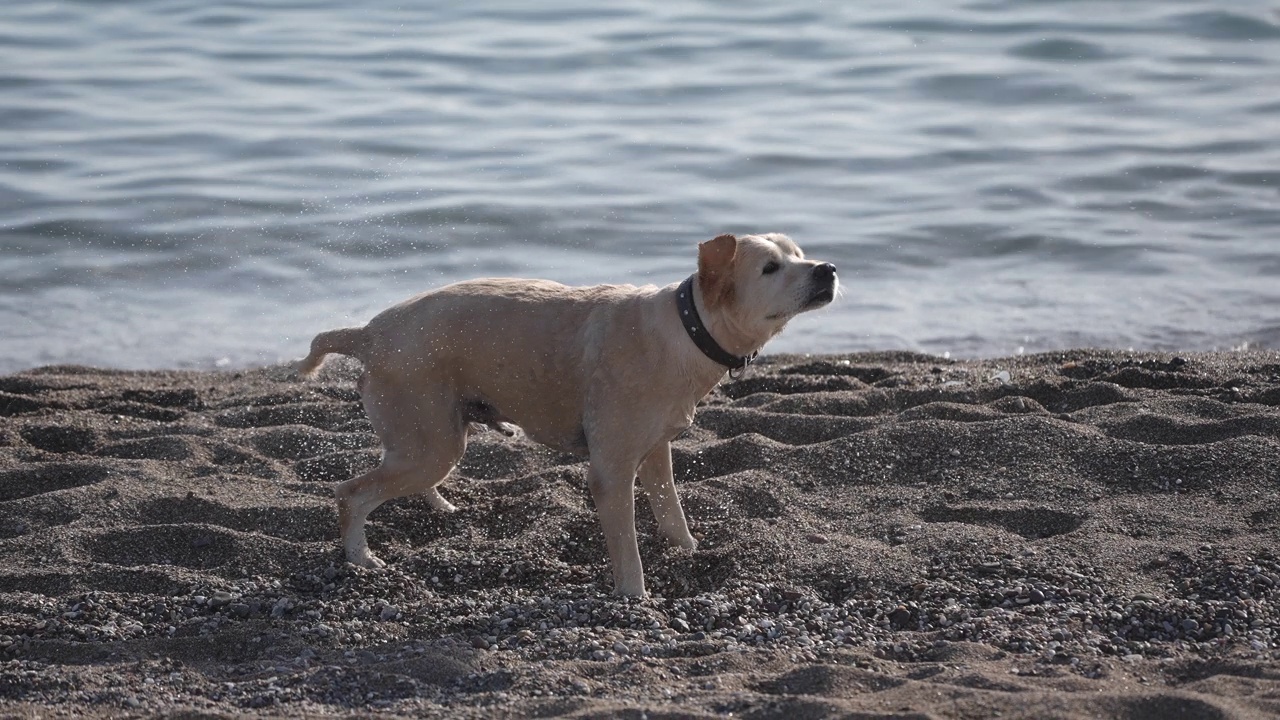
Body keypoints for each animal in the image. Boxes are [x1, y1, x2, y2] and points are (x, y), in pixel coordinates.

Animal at [298, 230, 839, 594]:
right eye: (770, 268)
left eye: (799, 254)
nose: (827, 269)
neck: (686, 330)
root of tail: (367, 334)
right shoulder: (611, 471)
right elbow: (627, 549)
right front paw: (634, 598)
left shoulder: (656, 452)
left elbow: (671, 514)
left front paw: (689, 552)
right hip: (429, 442)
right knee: (350, 494)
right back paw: (361, 558)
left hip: (430, 438)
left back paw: (440, 507)